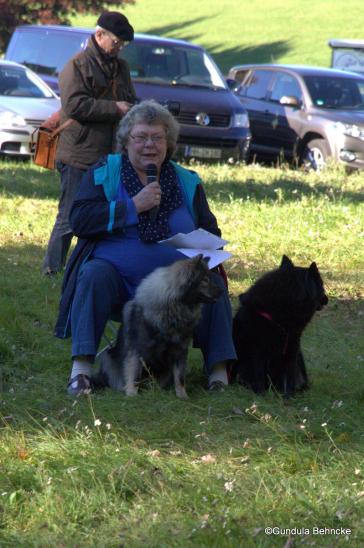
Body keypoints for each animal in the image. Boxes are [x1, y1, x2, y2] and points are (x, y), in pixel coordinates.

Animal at [92, 253, 222, 398]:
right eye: (205, 280)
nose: (222, 291)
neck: (174, 309)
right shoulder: (137, 351)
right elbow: (134, 375)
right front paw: (132, 394)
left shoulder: (180, 350)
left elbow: (180, 377)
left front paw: (182, 396)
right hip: (107, 356)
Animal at [233, 255, 330, 396]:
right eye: (321, 284)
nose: (327, 299)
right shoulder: (257, 349)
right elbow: (258, 373)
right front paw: (260, 394)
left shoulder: (292, 348)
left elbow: (288, 376)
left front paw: (287, 396)